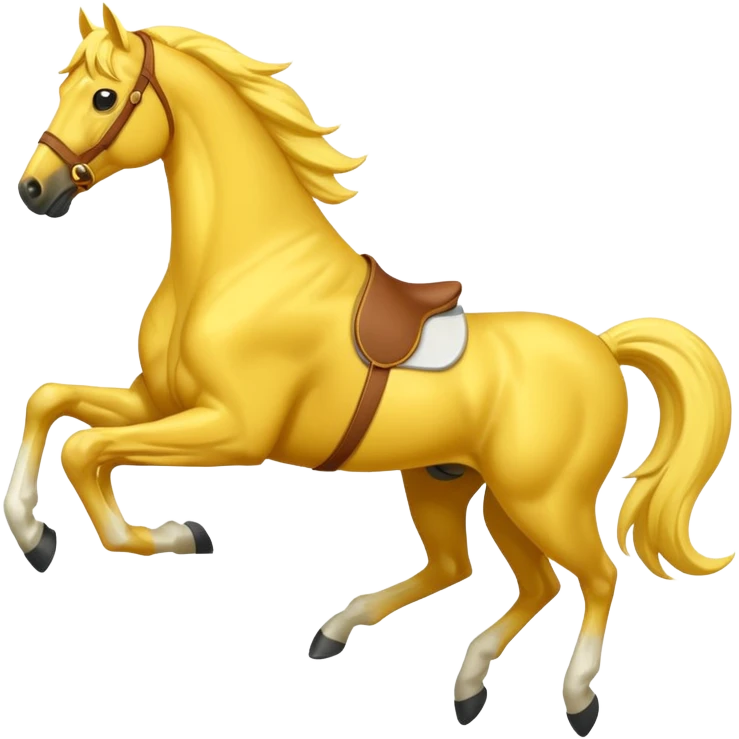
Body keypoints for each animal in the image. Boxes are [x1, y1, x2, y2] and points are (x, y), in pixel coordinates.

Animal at [9, 4, 734, 734]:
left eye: (104, 97)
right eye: (64, 85)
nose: (34, 188)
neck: (241, 265)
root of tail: (603, 348)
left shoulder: (232, 430)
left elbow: (85, 449)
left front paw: (174, 536)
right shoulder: (157, 402)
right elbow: (51, 402)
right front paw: (36, 534)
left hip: (543, 499)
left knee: (594, 575)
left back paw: (577, 696)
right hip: (461, 485)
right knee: (497, 573)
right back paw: (421, 664)